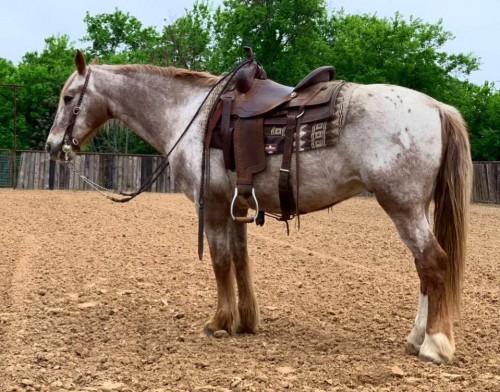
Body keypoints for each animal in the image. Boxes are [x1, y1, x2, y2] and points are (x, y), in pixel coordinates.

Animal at [46, 51, 472, 364]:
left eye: (68, 98)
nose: (53, 147)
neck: (190, 117)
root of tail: (437, 106)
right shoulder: (237, 205)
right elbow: (240, 259)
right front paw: (247, 320)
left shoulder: (212, 206)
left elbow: (220, 261)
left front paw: (219, 322)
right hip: (413, 209)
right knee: (423, 269)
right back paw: (416, 338)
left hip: (403, 206)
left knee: (433, 263)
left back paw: (434, 345)